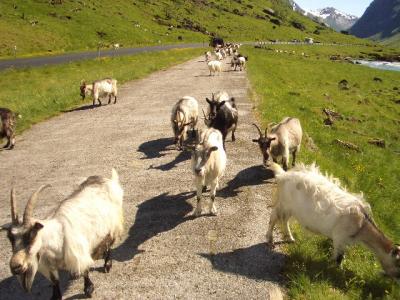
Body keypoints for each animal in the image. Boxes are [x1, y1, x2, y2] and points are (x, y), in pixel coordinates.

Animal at [1, 170, 123, 298]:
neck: (57, 239)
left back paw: (107, 264)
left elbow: (85, 270)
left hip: (113, 224)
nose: (15, 267)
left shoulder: (78, 253)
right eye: (10, 237)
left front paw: (88, 289)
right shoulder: (48, 265)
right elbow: (54, 281)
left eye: (31, 234)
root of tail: (108, 179)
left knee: (109, 243)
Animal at [266, 162, 400, 278]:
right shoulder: (339, 237)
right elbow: (338, 258)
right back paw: (270, 238)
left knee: (284, 220)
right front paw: (336, 271)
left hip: (291, 209)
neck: (361, 225)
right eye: (397, 264)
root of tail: (283, 175)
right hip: (284, 204)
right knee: (273, 217)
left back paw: (290, 238)